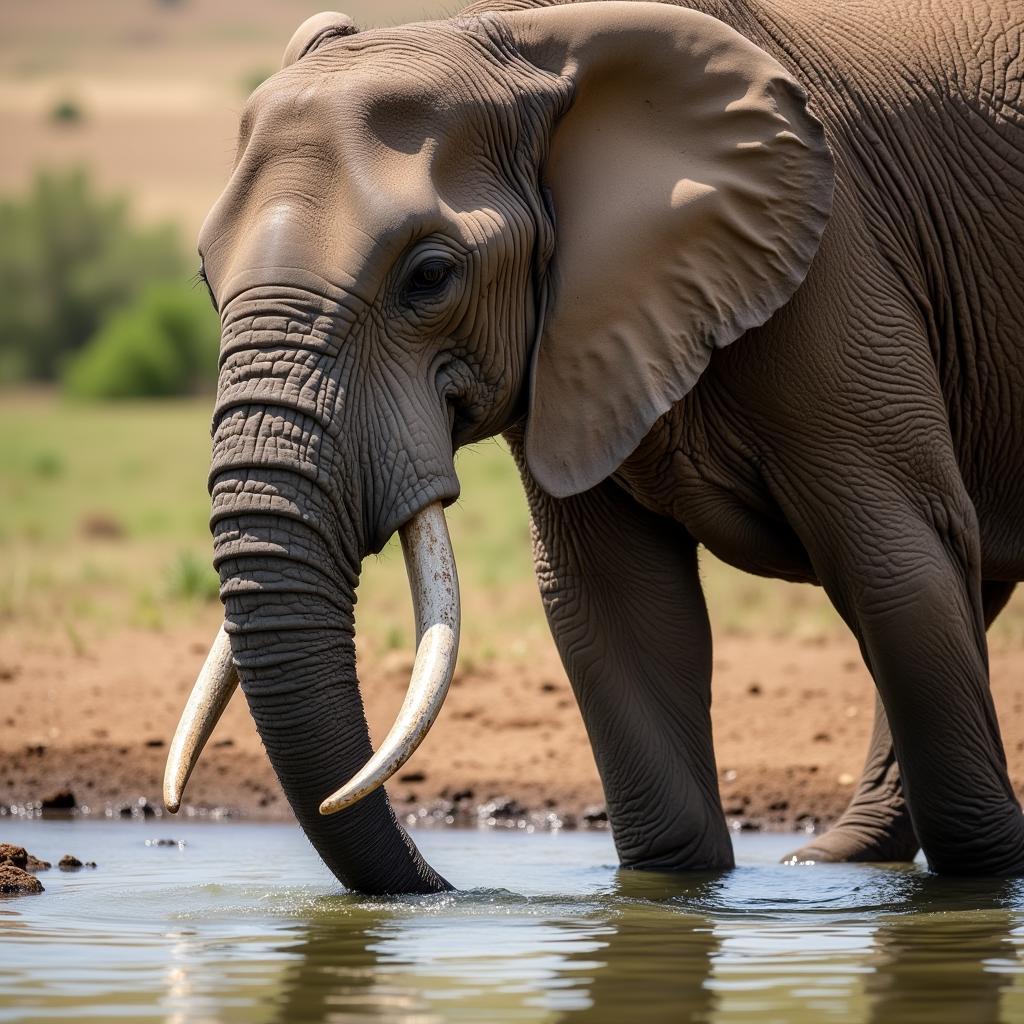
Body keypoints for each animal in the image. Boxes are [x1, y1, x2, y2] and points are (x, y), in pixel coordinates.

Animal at [159, 0, 1024, 892]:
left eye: (430, 276)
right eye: (206, 277)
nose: (450, 889)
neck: (523, 38)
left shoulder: (838, 262)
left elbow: (898, 571)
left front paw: (980, 887)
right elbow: (616, 604)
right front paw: (666, 893)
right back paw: (826, 859)